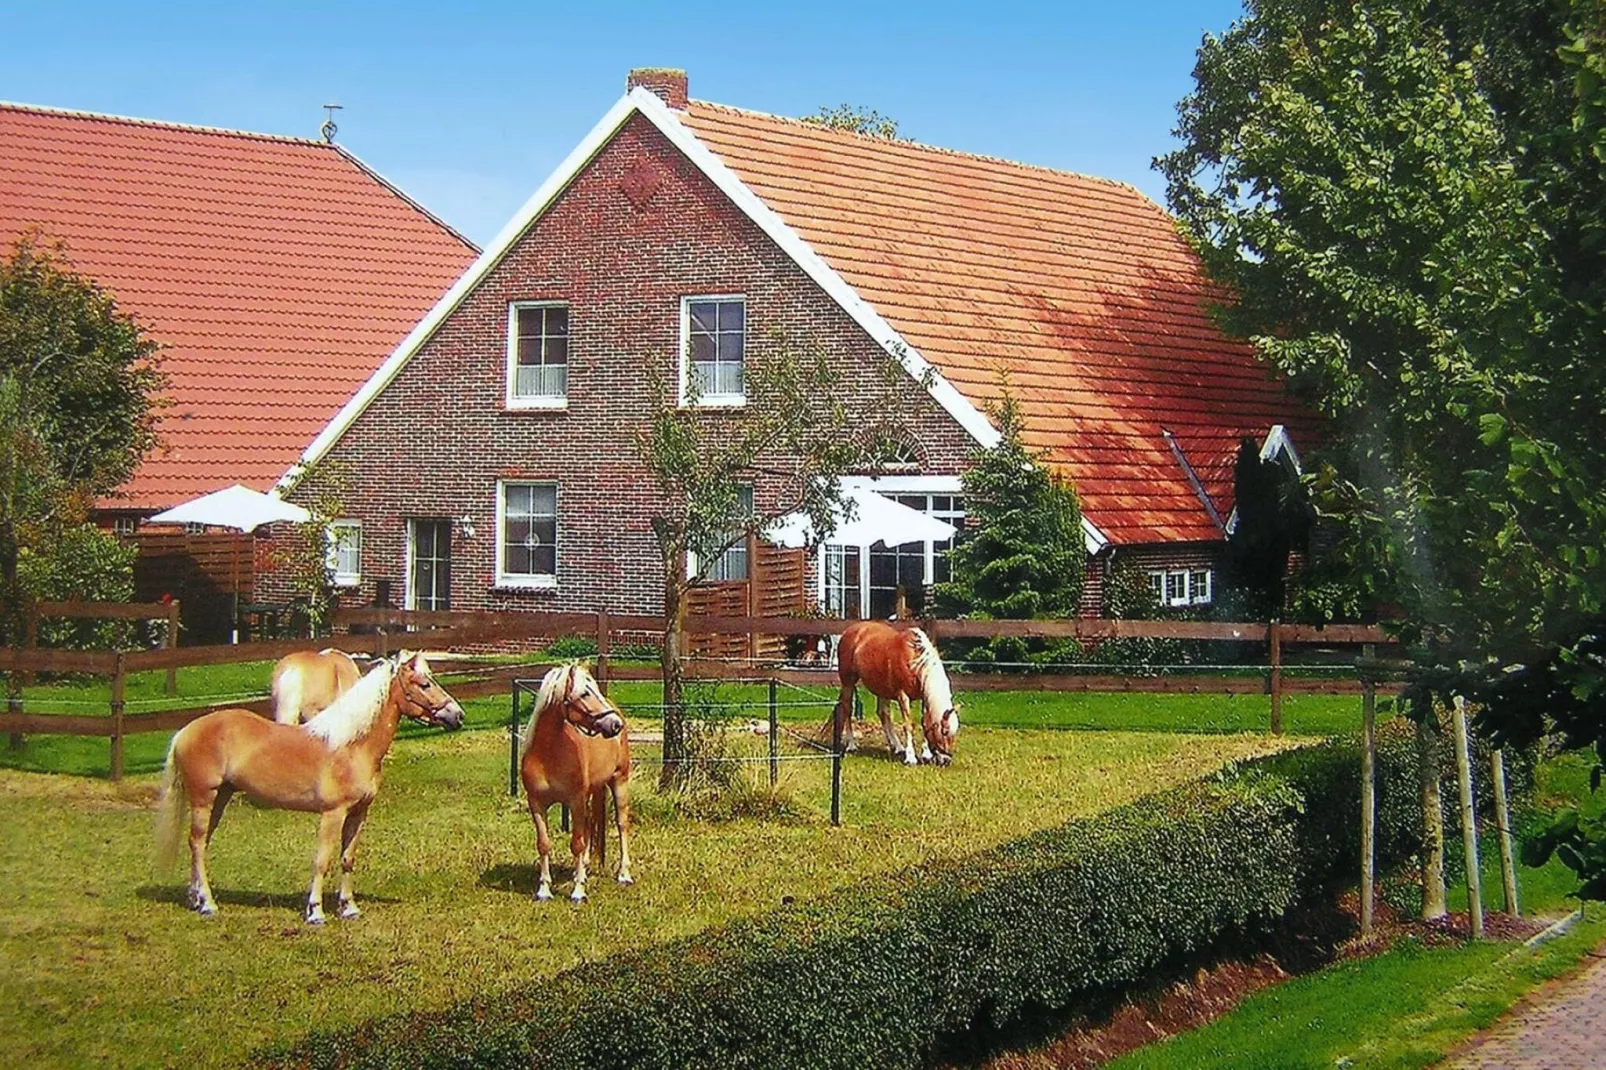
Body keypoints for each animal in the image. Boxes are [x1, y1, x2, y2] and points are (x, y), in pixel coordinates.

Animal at [154, 645, 465, 918]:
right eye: (423, 684)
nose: (458, 715)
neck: (352, 746)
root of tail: (185, 731)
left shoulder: (359, 813)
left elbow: (347, 859)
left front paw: (349, 908)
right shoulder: (332, 814)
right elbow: (322, 860)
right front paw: (315, 912)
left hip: (221, 796)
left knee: (201, 843)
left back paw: (196, 899)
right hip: (203, 797)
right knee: (196, 843)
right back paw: (207, 904)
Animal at [520, 658, 632, 899]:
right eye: (584, 693)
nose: (615, 724)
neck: (548, 754)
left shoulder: (575, 801)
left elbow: (577, 844)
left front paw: (578, 891)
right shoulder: (536, 803)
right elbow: (544, 843)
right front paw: (544, 890)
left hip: (619, 781)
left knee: (621, 824)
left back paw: (624, 875)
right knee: (590, 824)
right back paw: (585, 867)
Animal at [835, 616, 957, 767]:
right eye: (944, 731)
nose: (946, 760)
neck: (914, 660)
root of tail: (848, 631)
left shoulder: (924, 697)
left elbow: (925, 722)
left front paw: (926, 754)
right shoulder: (902, 695)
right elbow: (908, 725)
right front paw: (910, 757)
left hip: (882, 688)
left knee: (883, 714)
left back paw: (898, 746)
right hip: (848, 682)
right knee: (848, 708)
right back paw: (852, 744)